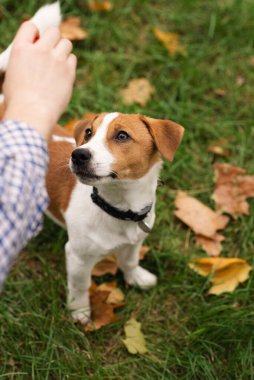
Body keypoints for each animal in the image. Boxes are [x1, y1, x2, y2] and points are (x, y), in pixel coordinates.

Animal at [0, 2, 185, 324]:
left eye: (122, 136)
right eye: (88, 133)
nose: (79, 155)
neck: (120, 209)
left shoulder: (134, 242)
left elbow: (129, 261)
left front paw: (136, 278)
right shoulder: (77, 255)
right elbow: (80, 284)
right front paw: (80, 312)